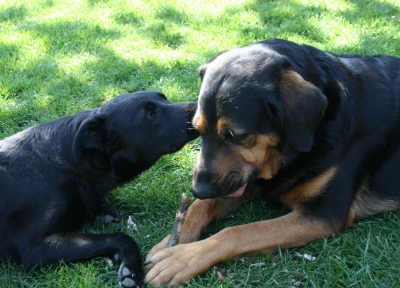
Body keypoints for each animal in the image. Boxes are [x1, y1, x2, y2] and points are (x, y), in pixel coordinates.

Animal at [0, 91, 198, 286]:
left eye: (164, 98)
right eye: (150, 115)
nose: (199, 105)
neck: (70, 165)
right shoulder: (34, 247)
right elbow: (120, 237)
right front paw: (131, 267)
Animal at [145, 39, 400, 286]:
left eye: (235, 135)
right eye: (197, 130)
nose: (199, 190)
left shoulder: (323, 215)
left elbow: (239, 232)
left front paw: (181, 259)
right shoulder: (243, 182)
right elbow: (200, 207)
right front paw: (171, 240)